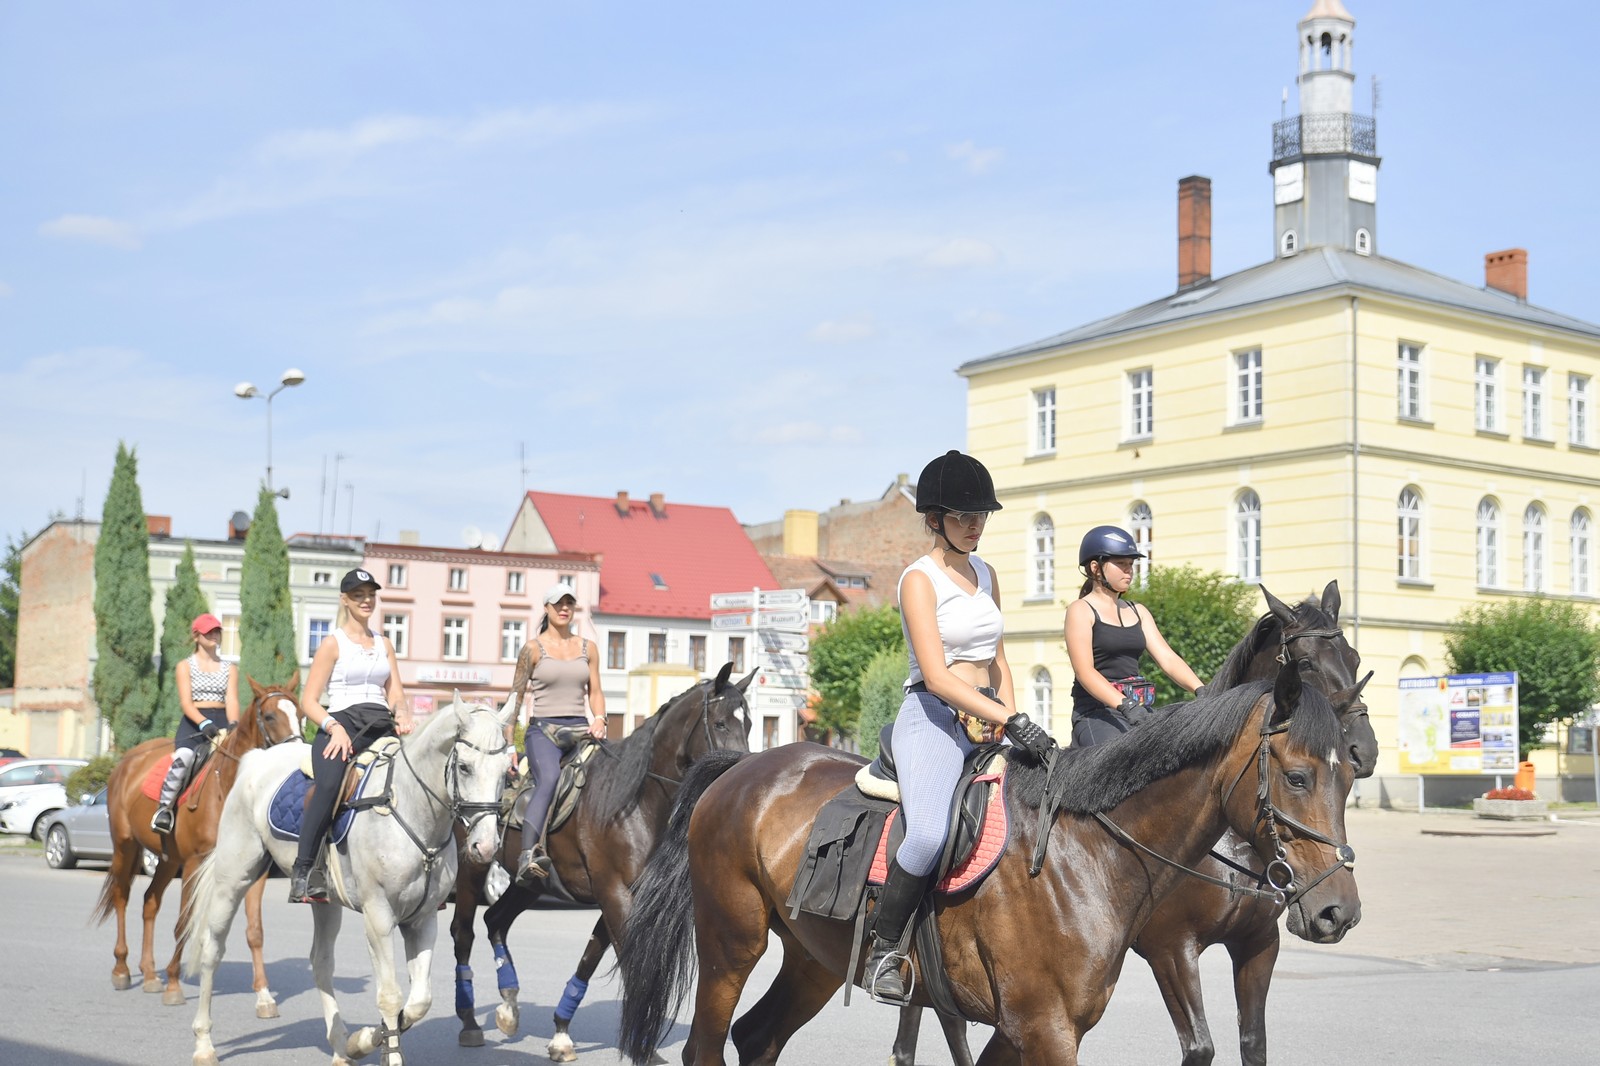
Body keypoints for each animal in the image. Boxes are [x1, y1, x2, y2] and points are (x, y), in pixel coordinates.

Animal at [95, 675, 304, 1011]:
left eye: (301, 714)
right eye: (271, 716)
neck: (227, 789)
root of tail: (128, 760)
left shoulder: (254, 871)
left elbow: (255, 931)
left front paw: (263, 994)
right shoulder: (195, 864)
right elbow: (184, 923)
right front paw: (174, 985)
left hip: (168, 861)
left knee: (150, 902)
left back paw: (150, 974)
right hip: (125, 846)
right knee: (121, 897)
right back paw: (122, 969)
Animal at [184, 694, 515, 1062]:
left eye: (506, 772)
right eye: (465, 767)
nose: (486, 846)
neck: (410, 808)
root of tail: (255, 759)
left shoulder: (423, 919)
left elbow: (419, 1001)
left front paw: (368, 1039)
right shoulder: (378, 917)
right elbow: (390, 995)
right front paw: (387, 1049)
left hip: (324, 901)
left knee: (321, 962)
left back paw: (342, 1044)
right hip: (234, 879)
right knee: (212, 949)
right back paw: (203, 1044)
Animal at [448, 665, 752, 1056]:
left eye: (749, 723)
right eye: (720, 723)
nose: (740, 775)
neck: (633, 803)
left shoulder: (619, 897)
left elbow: (591, 958)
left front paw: (562, 1031)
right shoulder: (614, 894)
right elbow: (632, 963)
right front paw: (643, 1045)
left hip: (530, 883)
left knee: (495, 921)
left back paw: (509, 1005)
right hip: (473, 864)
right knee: (463, 931)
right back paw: (470, 1020)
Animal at [617, 656, 1356, 1062]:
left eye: (1349, 776)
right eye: (1296, 777)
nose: (1337, 911)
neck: (1084, 853)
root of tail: (744, 767)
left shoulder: (1024, 1029)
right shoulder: (1051, 1027)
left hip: (813, 960)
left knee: (758, 1038)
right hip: (729, 946)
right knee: (707, 1045)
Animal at [896, 576, 1382, 1062]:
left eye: (1355, 657)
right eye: (1306, 661)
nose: (1364, 749)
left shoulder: (1259, 942)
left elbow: (1253, 1042)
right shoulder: (1170, 948)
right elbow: (1200, 1046)